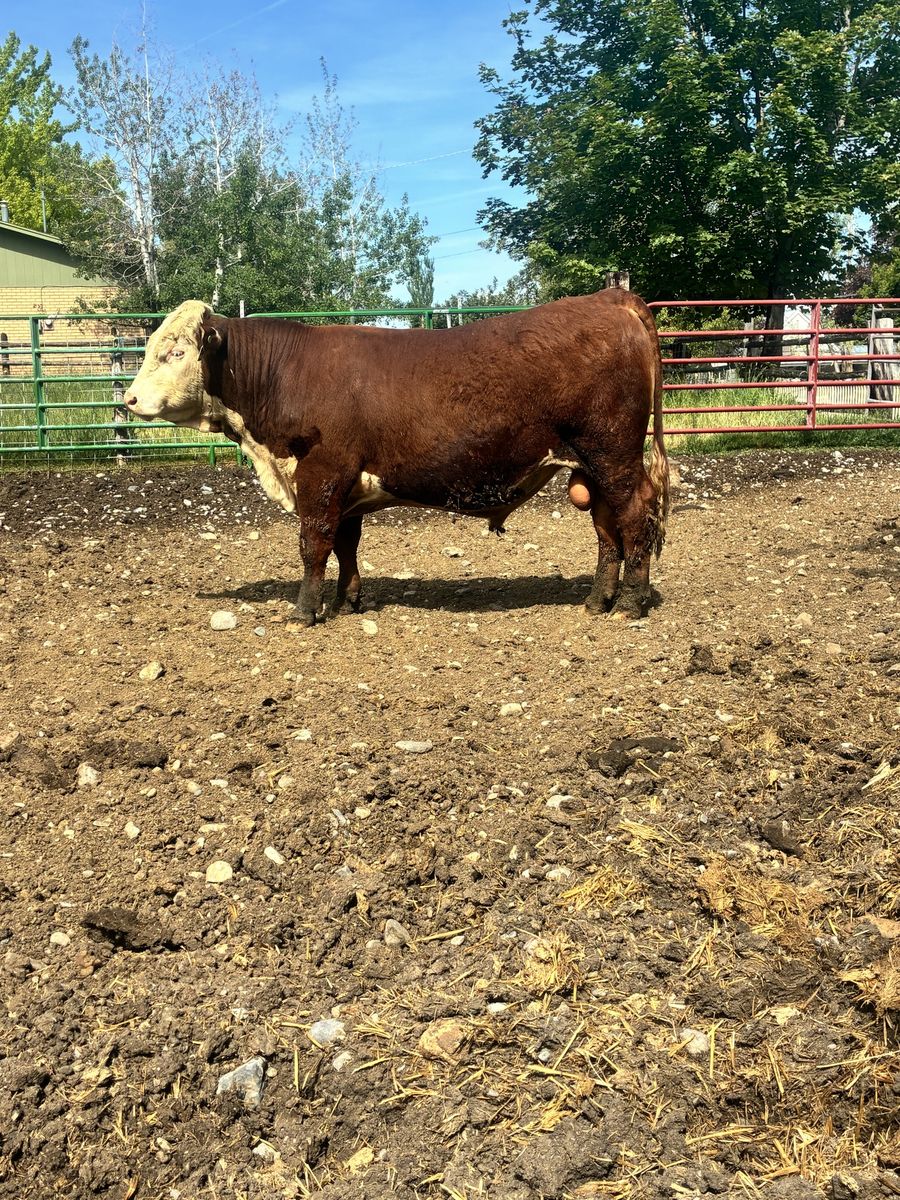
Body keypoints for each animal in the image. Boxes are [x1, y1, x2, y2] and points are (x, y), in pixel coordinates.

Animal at [123, 290, 670, 625]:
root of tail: (609, 298)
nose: (127, 400)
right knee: (607, 530)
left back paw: (632, 603)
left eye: (175, 352)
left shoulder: (321, 475)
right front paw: (348, 601)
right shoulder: (344, 487)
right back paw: (598, 600)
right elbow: (346, 546)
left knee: (635, 516)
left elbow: (313, 545)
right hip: (591, 465)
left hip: (613, 454)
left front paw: (304, 611)